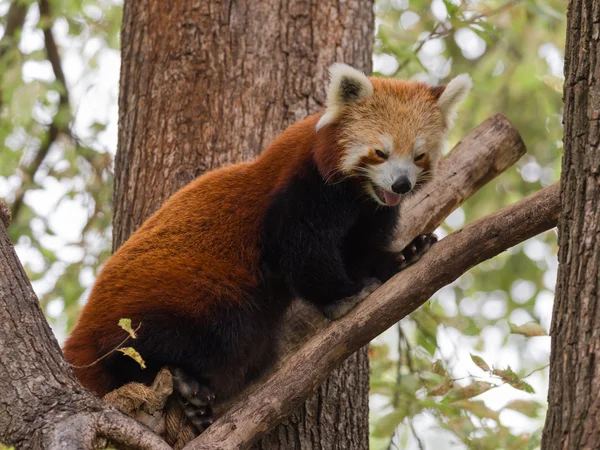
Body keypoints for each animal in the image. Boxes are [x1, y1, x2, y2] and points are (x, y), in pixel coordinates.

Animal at [63, 62, 472, 428]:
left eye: (418, 155)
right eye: (380, 152)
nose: (401, 185)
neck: (356, 196)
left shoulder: (369, 211)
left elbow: (361, 250)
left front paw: (404, 254)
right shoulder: (302, 187)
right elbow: (301, 249)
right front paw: (344, 295)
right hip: (181, 297)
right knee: (182, 335)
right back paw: (183, 380)